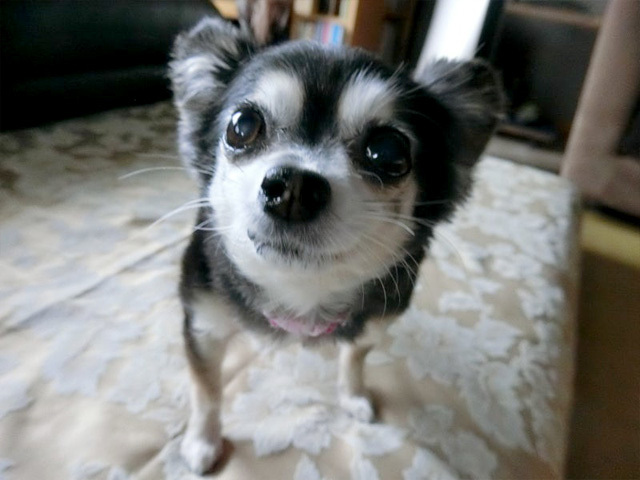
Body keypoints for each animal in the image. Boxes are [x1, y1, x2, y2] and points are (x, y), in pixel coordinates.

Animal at [169, 15, 502, 474]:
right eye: (242, 126)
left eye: (388, 151)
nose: (292, 188)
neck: (301, 296)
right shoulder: (204, 323)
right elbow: (207, 390)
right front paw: (202, 441)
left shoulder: (373, 321)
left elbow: (354, 358)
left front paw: (354, 397)